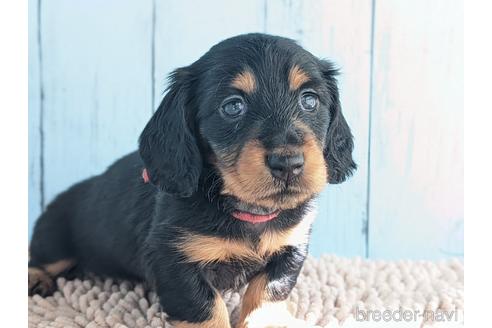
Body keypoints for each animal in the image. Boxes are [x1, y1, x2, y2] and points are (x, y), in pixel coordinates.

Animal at [28, 34, 356, 328]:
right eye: (233, 106)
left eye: (309, 100)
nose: (288, 163)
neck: (245, 209)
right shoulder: (173, 259)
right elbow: (205, 308)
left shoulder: (290, 248)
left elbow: (268, 293)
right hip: (55, 239)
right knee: (40, 258)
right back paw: (36, 280)